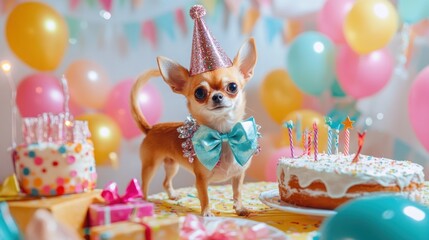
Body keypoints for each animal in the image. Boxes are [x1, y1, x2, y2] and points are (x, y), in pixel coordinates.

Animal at [130, 38, 256, 217]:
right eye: (199, 93)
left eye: (232, 87)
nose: (217, 96)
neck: (222, 134)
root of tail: (151, 128)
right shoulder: (201, 179)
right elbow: (205, 197)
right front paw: (207, 213)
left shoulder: (238, 175)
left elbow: (237, 192)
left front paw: (240, 208)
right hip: (150, 166)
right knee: (144, 185)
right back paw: (145, 203)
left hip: (171, 165)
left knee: (165, 181)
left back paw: (172, 195)